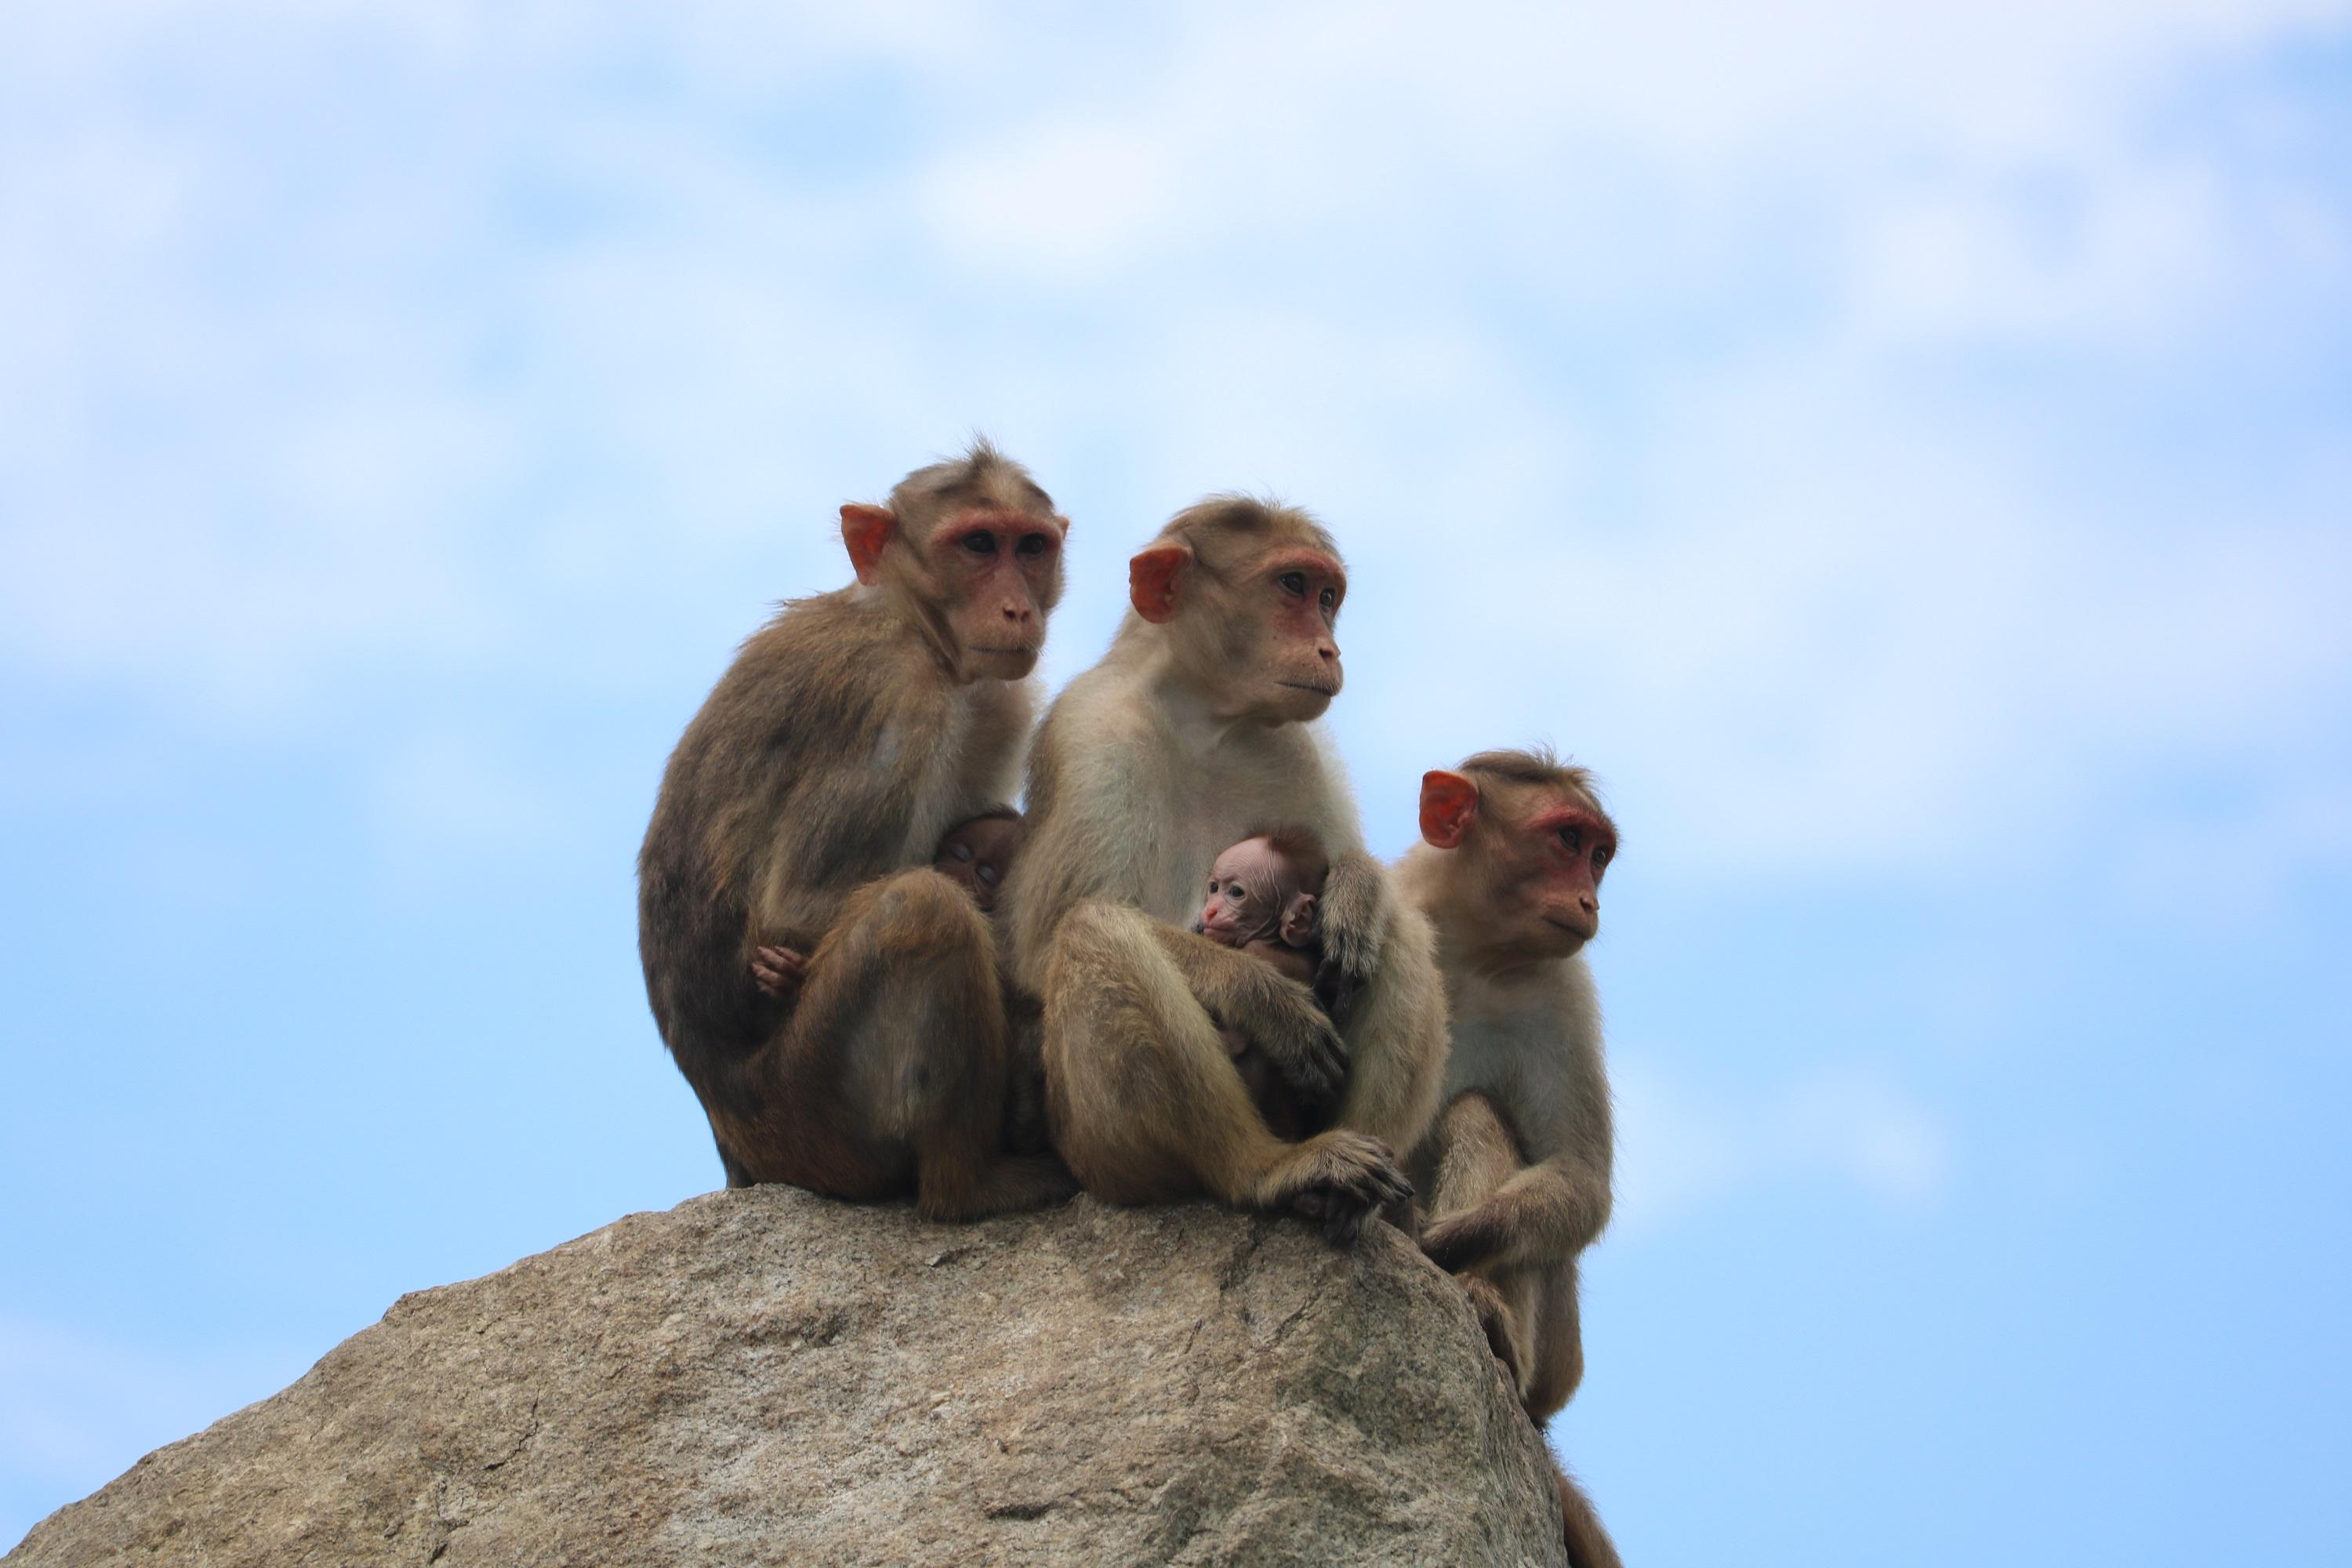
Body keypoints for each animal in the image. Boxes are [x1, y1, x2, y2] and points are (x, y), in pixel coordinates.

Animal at [644, 441, 1082, 1222]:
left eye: (1030, 547)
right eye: (977, 544)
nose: (1016, 608)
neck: (911, 625)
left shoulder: (996, 701)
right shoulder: (890, 698)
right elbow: (801, 908)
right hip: (812, 1114)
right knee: (923, 912)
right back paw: (966, 1185)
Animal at [1007, 495, 1458, 1241]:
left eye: (1327, 596)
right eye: (1292, 586)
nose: (1329, 649)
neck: (1204, 717)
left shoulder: (1295, 745)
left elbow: (1339, 876)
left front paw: (1355, 890)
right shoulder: (1093, 734)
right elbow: (1041, 951)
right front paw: (1261, 996)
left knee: (1397, 931)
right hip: (1098, 1153)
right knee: (1095, 930)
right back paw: (1269, 1171)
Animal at [1392, 747, 1618, 1568]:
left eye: (1599, 854)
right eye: (1566, 840)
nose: (1589, 900)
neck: (1469, 947)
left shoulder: (1564, 992)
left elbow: (1581, 1181)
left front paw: (1446, 1239)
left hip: (1558, 1353)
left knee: (1478, 1116)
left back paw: (1487, 1316)